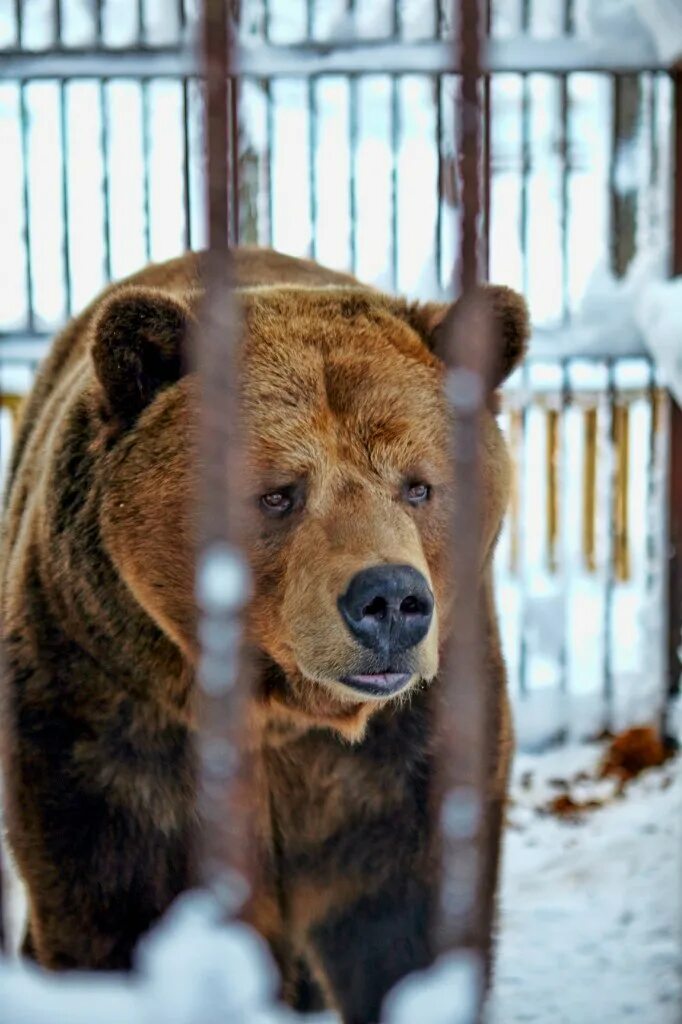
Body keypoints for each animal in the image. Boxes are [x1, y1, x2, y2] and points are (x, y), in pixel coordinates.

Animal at [0, 247, 524, 1024]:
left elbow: (411, 937)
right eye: (278, 492)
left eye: (417, 485)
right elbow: (109, 917)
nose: (390, 600)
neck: (286, 714)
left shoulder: (408, 759)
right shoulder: (108, 730)